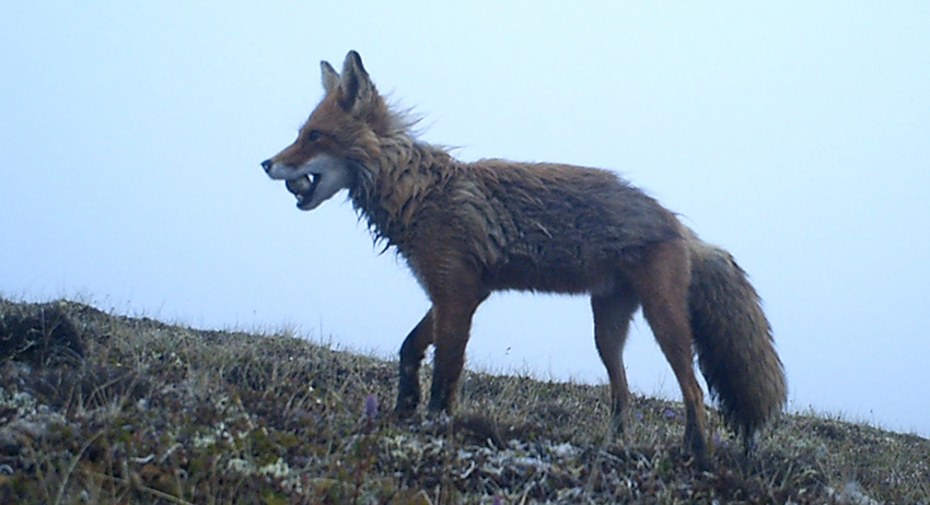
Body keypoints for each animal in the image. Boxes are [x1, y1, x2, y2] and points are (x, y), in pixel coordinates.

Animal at [260, 51, 784, 460]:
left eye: (314, 136)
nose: (266, 163)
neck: (418, 192)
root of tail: (679, 224)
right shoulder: (451, 291)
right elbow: (410, 348)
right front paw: (403, 404)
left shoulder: (460, 294)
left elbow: (445, 373)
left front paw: (434, 424)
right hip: (607, 331)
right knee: (624, 394)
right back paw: (615, 443)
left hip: (666, 322)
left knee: (692, 389)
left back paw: (696, 451)